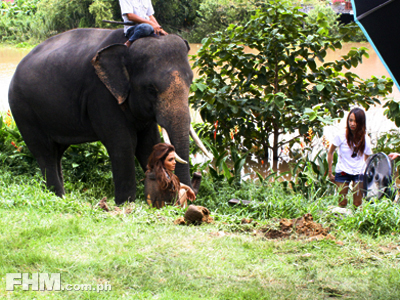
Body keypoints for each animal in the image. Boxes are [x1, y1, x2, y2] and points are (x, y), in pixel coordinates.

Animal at [8, 28, 209, 205]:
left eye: (191, 82)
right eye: (151, 89)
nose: (198, 174)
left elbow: (149, 143)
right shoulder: (101, 94)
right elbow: (123, 144)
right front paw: (126, 204)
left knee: (56, 152)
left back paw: (62, 197)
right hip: (23, 110)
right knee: (45, 153)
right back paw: (56, 197)